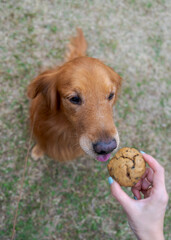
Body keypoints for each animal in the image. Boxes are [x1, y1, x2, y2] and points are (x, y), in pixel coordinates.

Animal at [27, 28, 121, 163]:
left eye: (111, 95)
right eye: (74, 99)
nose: (106, 148)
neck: (66, 129)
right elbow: (42, 143)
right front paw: (38, 151)